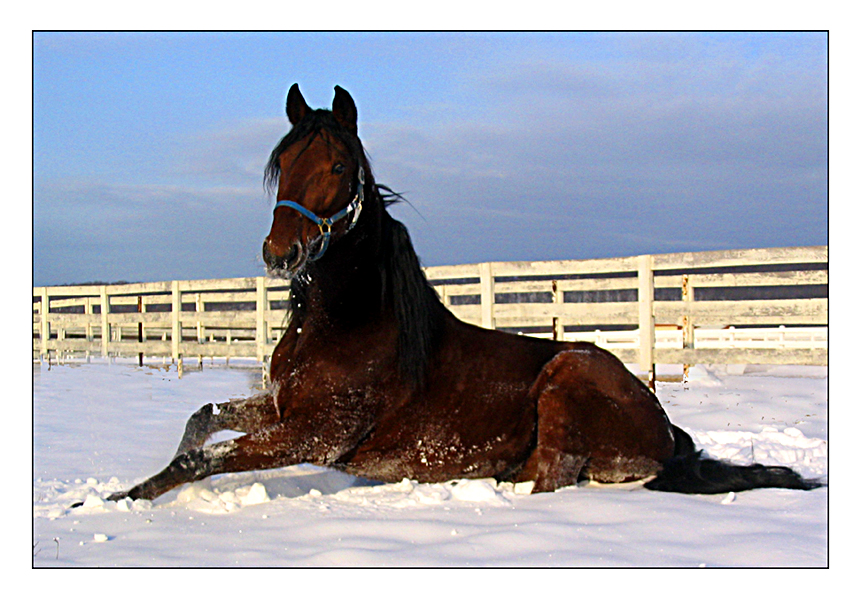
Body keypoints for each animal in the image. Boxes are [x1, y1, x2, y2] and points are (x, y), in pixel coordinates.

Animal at [106, 84, 820, 504]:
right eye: (282, 164)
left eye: (338, 166)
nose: (281, 253)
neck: (345, 324)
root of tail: (666, 431)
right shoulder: (282, 409)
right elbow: (199, 423)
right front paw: (119, 494)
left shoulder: (316, 435)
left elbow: (204, 458)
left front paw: (128, 502)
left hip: (565, 379)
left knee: (548, 478)